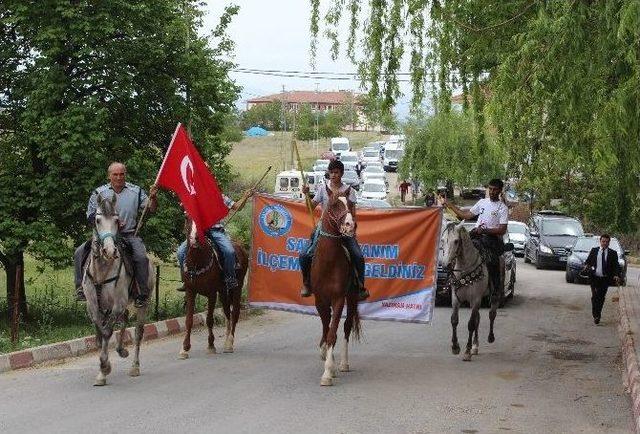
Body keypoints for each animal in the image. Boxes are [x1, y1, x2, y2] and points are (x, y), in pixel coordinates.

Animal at [82, 195, 153, 384]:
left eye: (116, 220)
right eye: (97, 220)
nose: (109, 250)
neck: (102, 269)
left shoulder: (118, 304)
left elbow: (107, 331)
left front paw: (105, 368)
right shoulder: (93, 306)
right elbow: (100, 333)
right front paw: (102, 372)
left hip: (142, 303)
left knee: (138, 332)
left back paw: (134, 366)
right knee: (124, 318)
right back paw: (121, 350)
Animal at [181, 217, 251, 360]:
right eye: (187, 217)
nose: (195, 238)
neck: (197, 262)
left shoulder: (211, 293)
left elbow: (209, 320)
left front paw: (211, 345)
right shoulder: (190, 291)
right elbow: (189, 320)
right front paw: (185, 348)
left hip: (237, 288)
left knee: (235, 313)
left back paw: (229, 343)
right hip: (223, 291)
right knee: (227, 312)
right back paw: (226, 340)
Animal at [308, 190, 360, 386]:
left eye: (350, 204)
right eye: (334, 204)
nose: (350, 225)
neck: (328, 263)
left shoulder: (338, 299)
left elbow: (332, 333)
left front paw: (328, 373)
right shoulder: (320, 300)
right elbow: (326, 328)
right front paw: (324, 354)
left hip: (352, 298)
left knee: (346, 327)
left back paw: (343, 364)